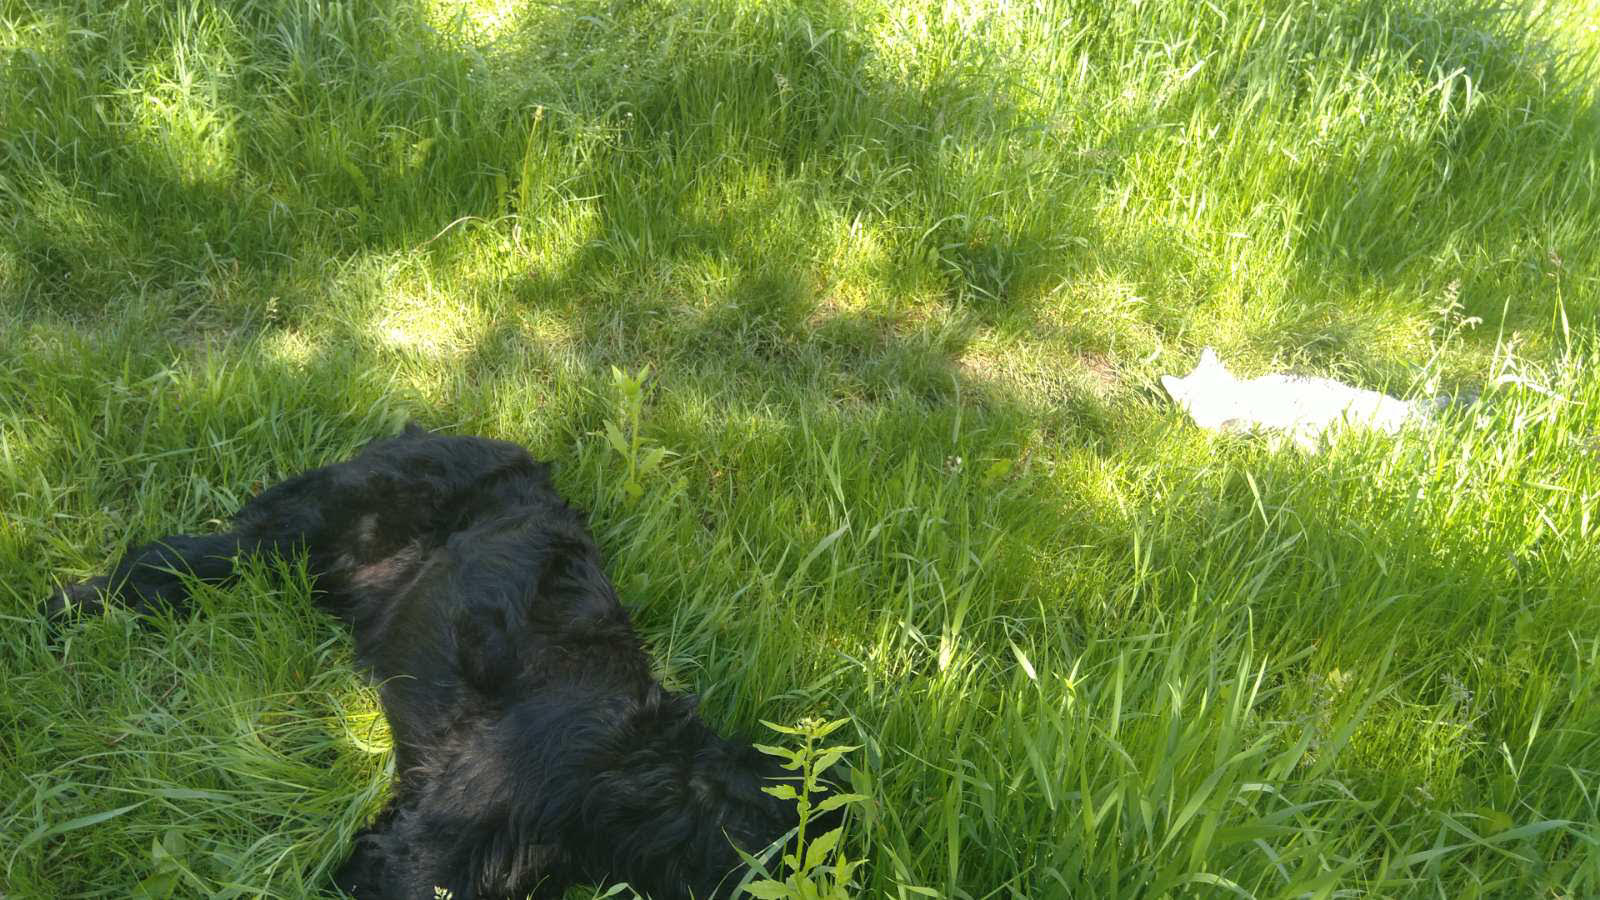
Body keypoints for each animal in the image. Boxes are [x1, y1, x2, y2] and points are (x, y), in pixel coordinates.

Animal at [46, 424, 835, 899]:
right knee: (170, 556)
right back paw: (73, 609)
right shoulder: (426, 847)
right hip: (301, 531)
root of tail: (429, 432)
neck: (637, 764)